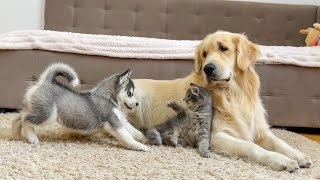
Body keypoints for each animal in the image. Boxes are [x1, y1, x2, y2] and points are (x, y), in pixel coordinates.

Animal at [10, 62, 149, 151]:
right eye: (130, 93)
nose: (137, 103)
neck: (107, 97)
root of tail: (45, 82)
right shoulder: (113, 121)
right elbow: (127, 136)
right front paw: (139, 146)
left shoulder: (121, 121)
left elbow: (134, 131)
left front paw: (144, 139)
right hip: (48, 115)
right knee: (25, 119)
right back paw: (32, 138)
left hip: (36, 109)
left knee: (18, 117)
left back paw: (17, 135)